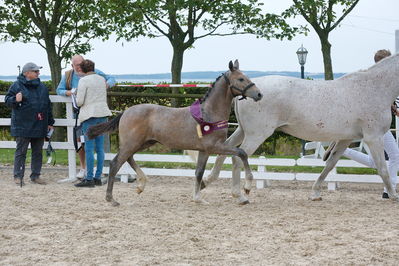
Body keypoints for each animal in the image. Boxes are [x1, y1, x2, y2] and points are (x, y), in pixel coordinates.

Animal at [87, 60, 262, 206]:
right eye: (241, 79)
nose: (259, 94)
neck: (209, 113)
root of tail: (126, 112)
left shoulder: (204, 150)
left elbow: (199, 172)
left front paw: (198, 198)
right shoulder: (215, 147)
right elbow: (242, 153)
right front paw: (247, 186)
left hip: (142, 143)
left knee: (128, 159)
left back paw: (141, 185)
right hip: (132, 143)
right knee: (116, 163)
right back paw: (111, 199)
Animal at [203, 53, 399, 205]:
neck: (373, 88)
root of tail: (250, 91)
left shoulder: (346, 138)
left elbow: (330, 164)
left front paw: (315, 193)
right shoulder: (373, 137)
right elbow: (382, 168)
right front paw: (393, 195)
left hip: (244, 131)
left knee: (225, 150)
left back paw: (207, 181)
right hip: (256, 134)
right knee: (238, 157)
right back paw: (240, 195)